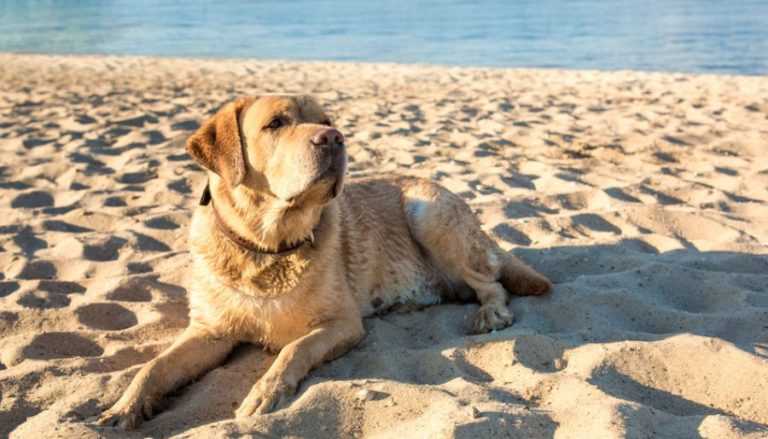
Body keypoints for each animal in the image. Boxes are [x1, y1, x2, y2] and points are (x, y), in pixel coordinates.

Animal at [97, 95, 552, 430]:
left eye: (327, 119)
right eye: (275, 124)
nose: (333, 137)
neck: (266, 248)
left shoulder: (342, 323)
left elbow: (291, 350)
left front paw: (265, 392)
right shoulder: (210, 332)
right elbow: (153, 367)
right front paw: (123, 408)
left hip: (427, 212)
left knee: (493, 282)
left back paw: (490, 313)